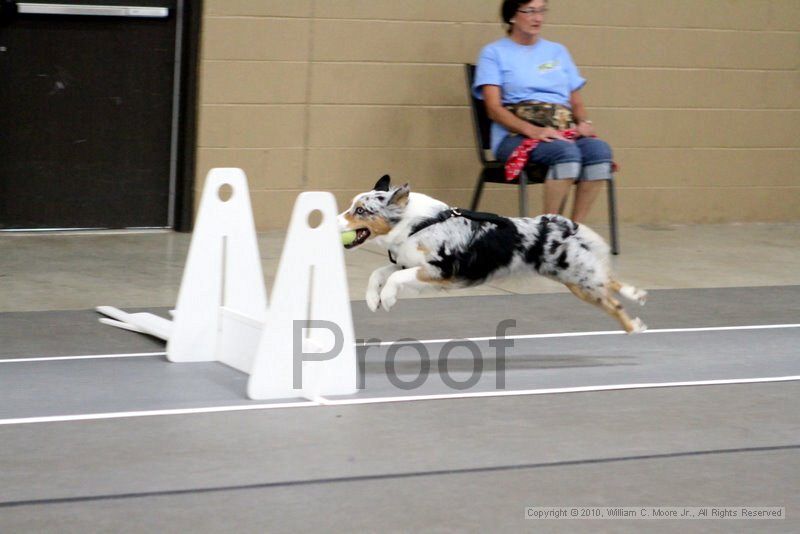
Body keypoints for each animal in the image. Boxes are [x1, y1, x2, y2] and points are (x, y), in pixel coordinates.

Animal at [340, 176, 648, 336]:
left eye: (361, 211)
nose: (334, 222)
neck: (416, 224)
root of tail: (560, 223)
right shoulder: (409, 263)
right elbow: (379, 273)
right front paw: (372, 299)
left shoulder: (439, 270)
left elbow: (394, 279)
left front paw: (387, 299)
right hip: (576, 281)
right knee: (610, 291)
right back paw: (635, 319)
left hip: (577, 275)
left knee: (611, 292)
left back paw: (635, 313)